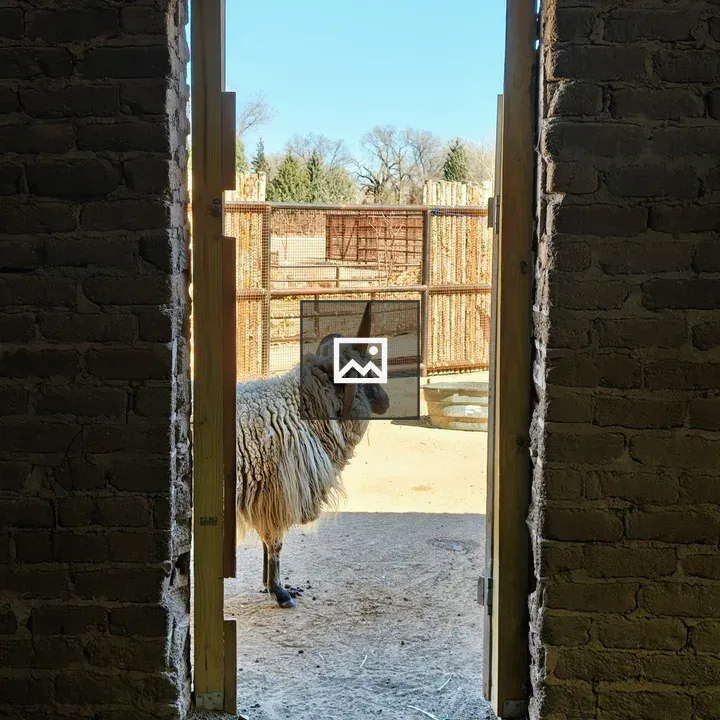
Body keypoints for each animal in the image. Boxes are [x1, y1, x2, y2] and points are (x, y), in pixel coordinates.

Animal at [235, 304, 390, 608]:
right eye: (365, 370)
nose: (385, 402)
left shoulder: (268, 498)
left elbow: (268, 545)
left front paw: (269, 585)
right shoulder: (279, 493)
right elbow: (274, 544)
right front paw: (279, 592)